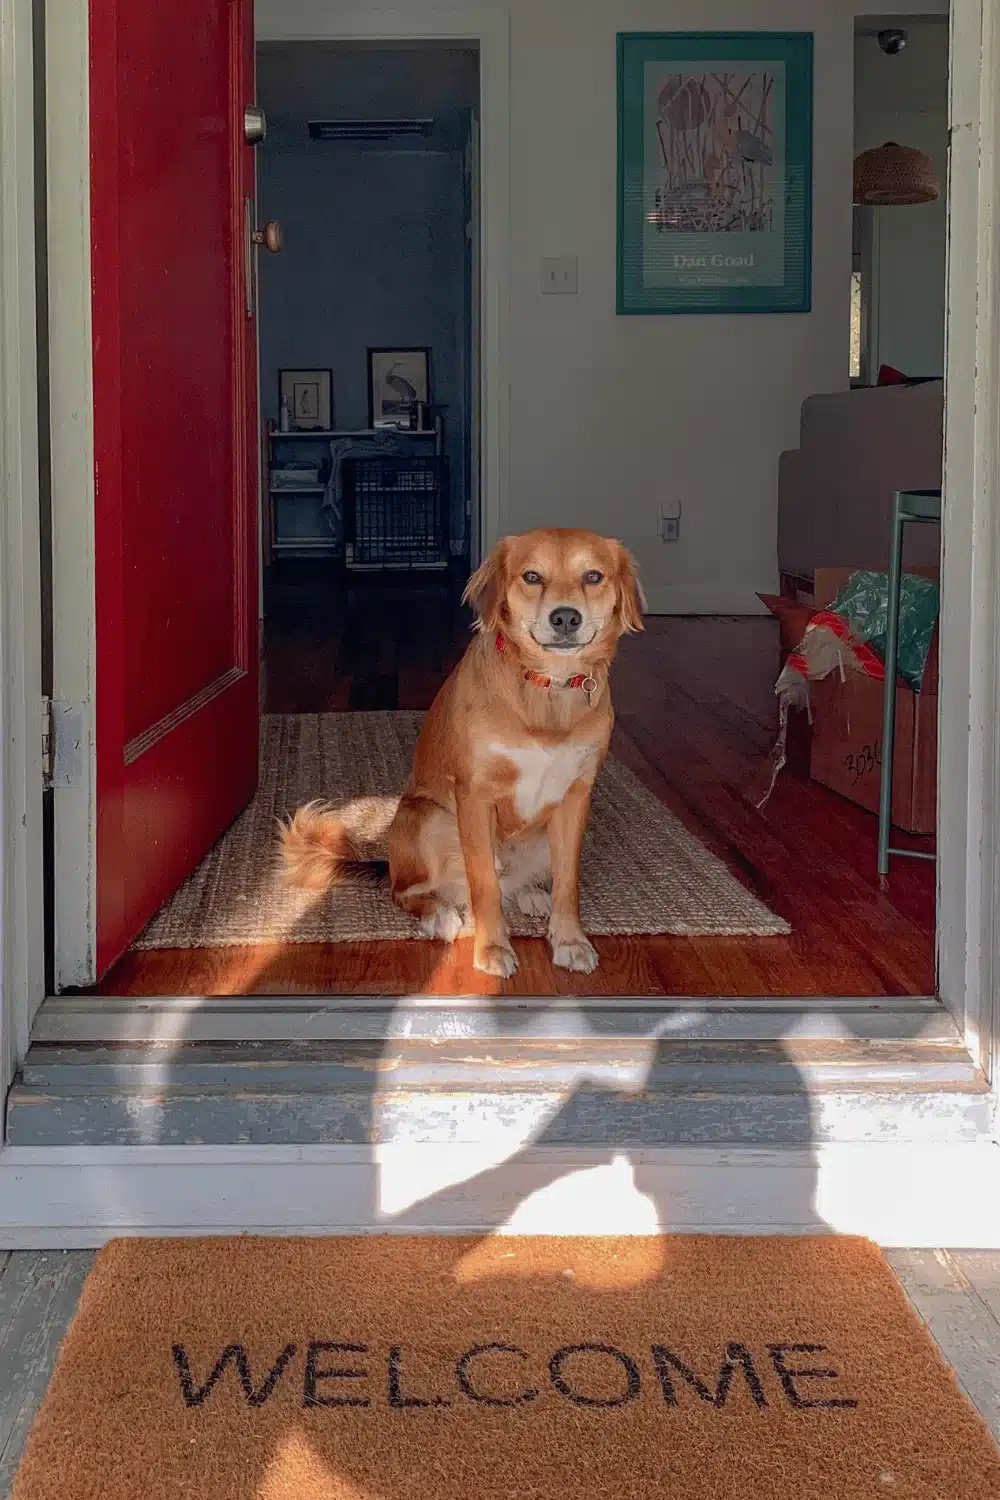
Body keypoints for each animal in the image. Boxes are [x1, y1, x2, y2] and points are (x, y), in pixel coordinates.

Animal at [277, 534, 644, 978]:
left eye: (593, 576)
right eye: (531, 577)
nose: (565, 619)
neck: (547, 688)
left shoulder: (575, 797)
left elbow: (567, 880)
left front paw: (569, 940)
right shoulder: (474, 795)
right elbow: (483, 881)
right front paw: (492, 948)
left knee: (514, 883)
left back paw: (531, 895)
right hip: (428, 818)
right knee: (409, 891)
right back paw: (441, 914)